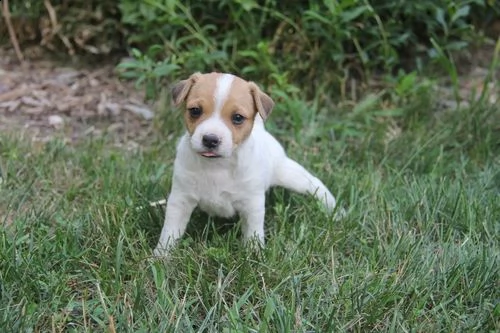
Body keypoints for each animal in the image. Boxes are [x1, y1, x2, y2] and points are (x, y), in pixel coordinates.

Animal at [154, 71, 338, 255]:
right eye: (195, 111)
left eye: (237, 118)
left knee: (314, 184)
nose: (210, 139)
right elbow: (169, 231)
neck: (217, 166)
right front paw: (161, 255)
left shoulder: (252, 204)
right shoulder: (180, 200)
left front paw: (254, 254)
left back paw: (334, 210)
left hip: (290, 175)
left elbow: (253, 232)